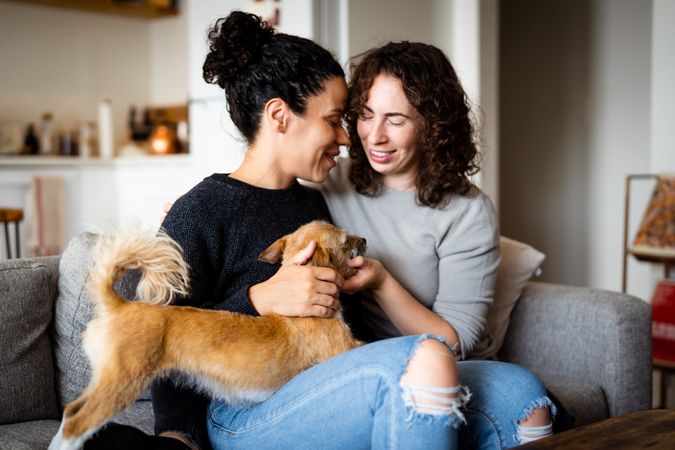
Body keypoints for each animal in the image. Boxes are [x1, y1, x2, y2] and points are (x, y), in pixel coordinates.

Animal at [50, 220, 368, 448]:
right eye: (345, 240)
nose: (364, 240)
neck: (298, 311)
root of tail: (119, 305)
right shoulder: (346, 348)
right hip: (123, 382)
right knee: (78, 425)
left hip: (104, 380)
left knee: (71, 412)